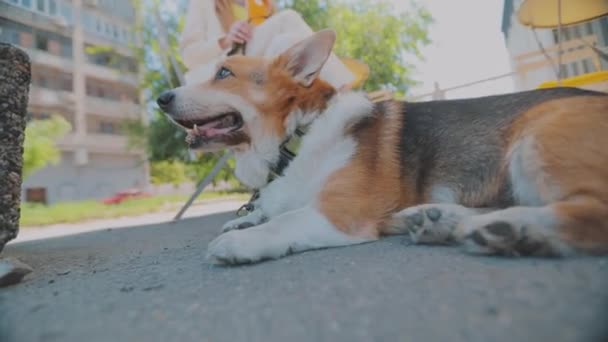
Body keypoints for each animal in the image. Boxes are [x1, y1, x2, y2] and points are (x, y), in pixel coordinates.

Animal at [158, 29, 608, 264]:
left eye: (224, 73)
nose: (161, 98)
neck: (297, 140)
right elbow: (269, 211)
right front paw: (244, 220)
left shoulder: (339, 213)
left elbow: (283, 221)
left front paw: (241, 240)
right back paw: (438, 219)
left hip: (537, 136)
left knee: (592, 214)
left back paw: (512, 230)